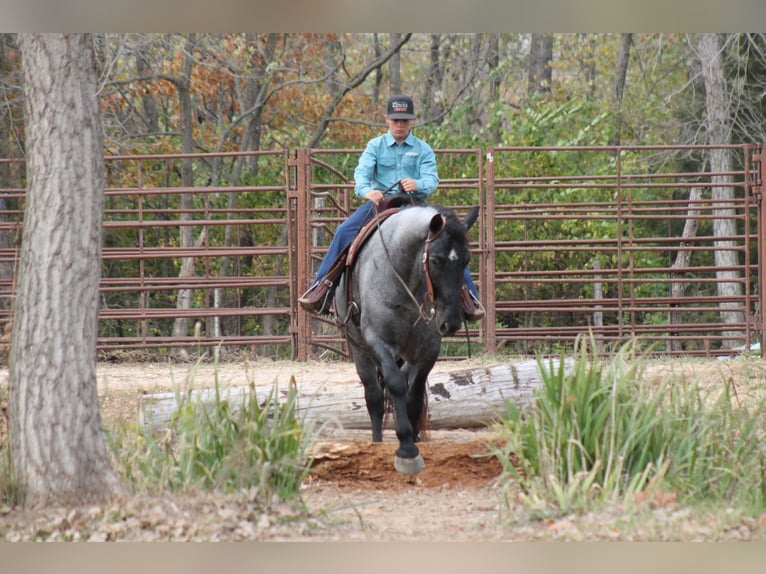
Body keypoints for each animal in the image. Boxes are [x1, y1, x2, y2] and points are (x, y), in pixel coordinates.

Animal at [336, 202, 480, 476]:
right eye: (435, 260)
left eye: (467, 260)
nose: (451, 322)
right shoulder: (378, 341)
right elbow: (394, 385)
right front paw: (406, 451)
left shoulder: (428, 349)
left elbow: (413, 395)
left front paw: (415, 441)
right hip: (359, 348)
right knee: (374, 396)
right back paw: (377, 443)